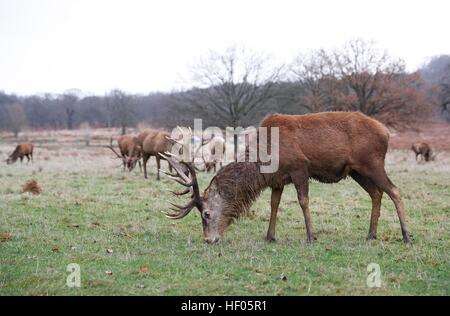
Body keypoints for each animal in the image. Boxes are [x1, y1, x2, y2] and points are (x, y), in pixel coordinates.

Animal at [161, 112, 412, 246]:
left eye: (206, 213)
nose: (208, 239)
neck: (264, 160)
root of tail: (386, 132)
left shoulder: (300, 168)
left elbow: (303, 201)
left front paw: (311, 237)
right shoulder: (277, 179)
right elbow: (274, 204)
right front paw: (270, 236)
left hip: (372, 163)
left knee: (395, 190)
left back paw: (406, 236)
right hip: (357, 171)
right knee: (377, 193)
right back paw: (371, 234)